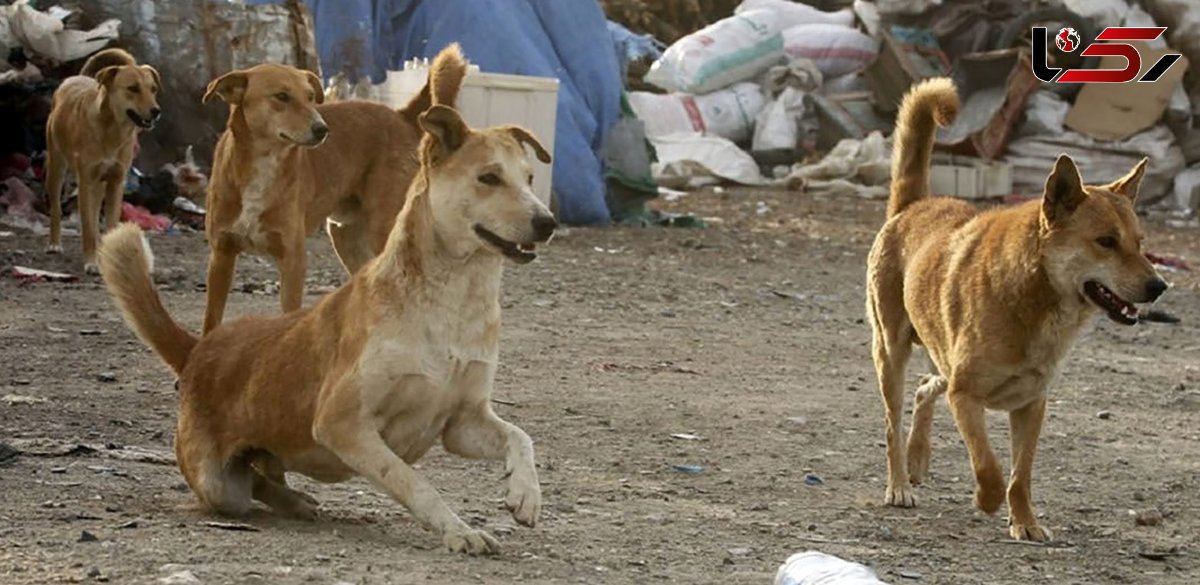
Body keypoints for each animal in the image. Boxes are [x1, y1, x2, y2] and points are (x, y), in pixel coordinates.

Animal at [98, 99, 556, 553]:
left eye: (530, 178)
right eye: (489, 178)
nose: (548, 222)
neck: (455, 303)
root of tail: (198, 350)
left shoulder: (462, 423)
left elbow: (520, 436)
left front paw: (525, 495)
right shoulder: (342, 423)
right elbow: (414, 483)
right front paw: (459, 531)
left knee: (261, 476)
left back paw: (296, 500)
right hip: (218, 484)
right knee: (248, 486)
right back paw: (293, 500)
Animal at [201, 42, 468, 333]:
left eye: (310, 97)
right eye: (282, 96)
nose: (322, 129)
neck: (264, 163)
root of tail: (401, 116)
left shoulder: (292, 259)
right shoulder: (221, 255)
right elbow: (211, 320)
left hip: (382, 229)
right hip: (345, 236)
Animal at [868, 79, 1166, 544]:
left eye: (1140, 242)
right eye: (1106, 242)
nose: (1159, 286)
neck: (1036, 298)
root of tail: (911, 207)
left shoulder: (1031, 405)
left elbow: (1020, 476)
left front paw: (1025, 522)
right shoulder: (966, 396)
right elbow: (989, 468)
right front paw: (986, 501)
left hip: (940, 358)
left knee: (924, 387)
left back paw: (918, 459)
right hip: (891, 352)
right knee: (892, 422)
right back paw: (900, 483)